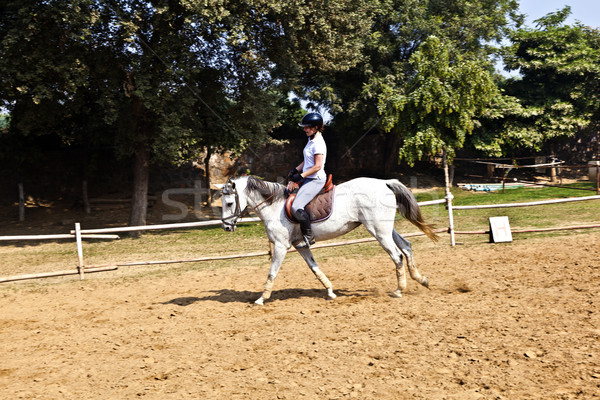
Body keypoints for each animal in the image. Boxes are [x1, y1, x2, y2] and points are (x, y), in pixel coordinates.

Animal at [220, 177, 436, 304]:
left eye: (229, 203)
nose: (226, 227)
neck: (274, 206)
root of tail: (384, 182)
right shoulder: (300, 246)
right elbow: (314, 268)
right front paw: (330, 291)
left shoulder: (281, 246)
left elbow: (272, 272)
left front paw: (261, 299)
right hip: (386, 229)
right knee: (406, 247)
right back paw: (422, 280)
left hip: (379, 231)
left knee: (397, 255)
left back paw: (399, 290)